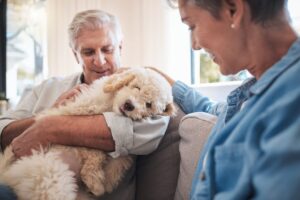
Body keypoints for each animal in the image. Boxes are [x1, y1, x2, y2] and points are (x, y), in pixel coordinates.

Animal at [0, 67, 176, 200]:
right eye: (136, 87)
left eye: (149, 105)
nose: (129, 105)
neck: (110, 105)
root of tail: (8, 174)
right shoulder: (77, 115)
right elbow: (94, 151)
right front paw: (94, 180)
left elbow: (115, 163)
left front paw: (100, 184)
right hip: (49, 174)